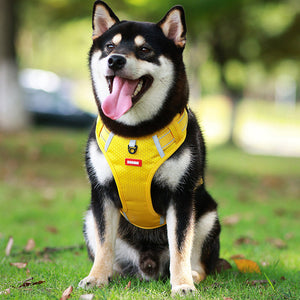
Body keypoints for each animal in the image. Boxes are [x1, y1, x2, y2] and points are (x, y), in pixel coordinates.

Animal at [79, 0, 223, 296]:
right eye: (110, 46)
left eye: (144, 49)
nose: (115, 60)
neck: (136, 133)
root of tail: (148, 264)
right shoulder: (101, 193)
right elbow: (103, 243)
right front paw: (96, 278)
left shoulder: (181, 196)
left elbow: (180, 246)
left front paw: (182, 284)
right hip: (89, 216)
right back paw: (111, 273)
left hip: (208, 215)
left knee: (199, 260)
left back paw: (192, 274)